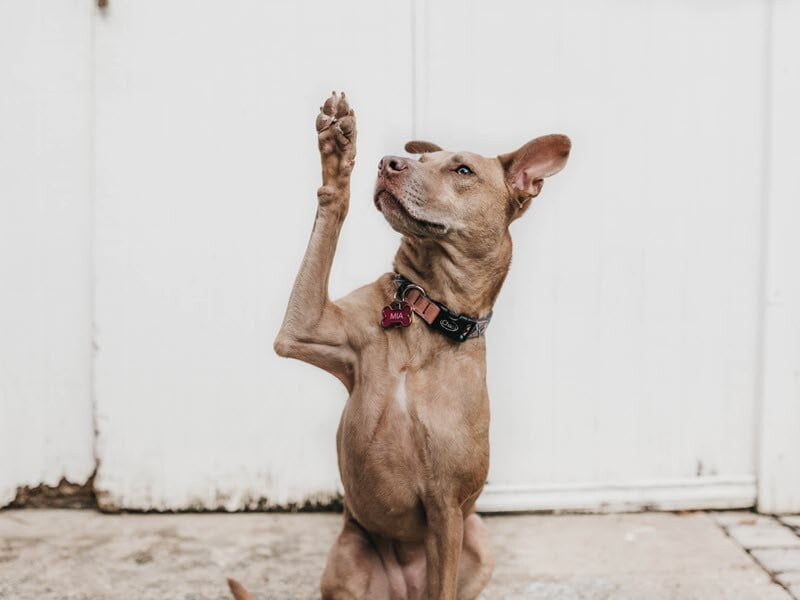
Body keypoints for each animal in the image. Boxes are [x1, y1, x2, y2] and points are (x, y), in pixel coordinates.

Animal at [228, 92, 572, 600]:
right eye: (421, 159)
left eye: (462, 169)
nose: (389, 162)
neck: (426, 314)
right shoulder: (302, 327)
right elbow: (330, 212)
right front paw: (338, 154)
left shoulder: (447, 508)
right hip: (348, 556)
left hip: (477, 539)